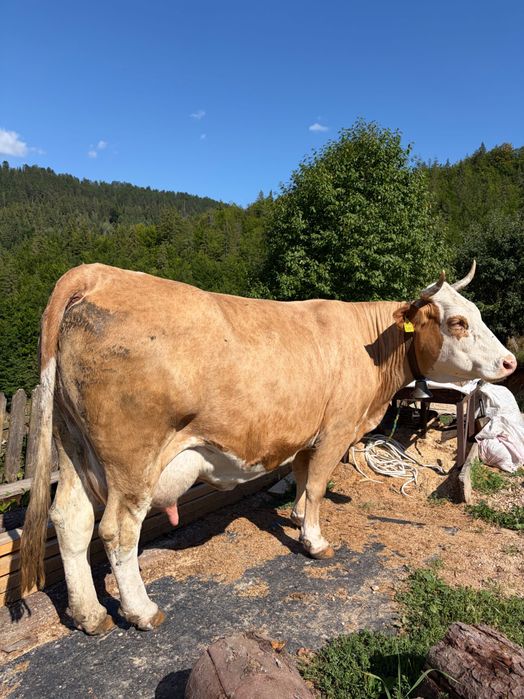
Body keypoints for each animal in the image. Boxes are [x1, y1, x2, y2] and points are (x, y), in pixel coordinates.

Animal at [20, 261, 516, 635]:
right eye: (457, 322)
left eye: (476, 312)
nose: (510, 361)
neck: (371, 347)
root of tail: (98, 273)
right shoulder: (336, 430)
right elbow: (316, 487)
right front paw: (315, 541)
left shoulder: (304, 433)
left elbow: (300, 479)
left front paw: (296, 520)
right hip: (132, 459)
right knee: (118, 530)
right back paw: (142, 611)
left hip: (73, 445)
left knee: (71, 520)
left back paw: (89, 615)